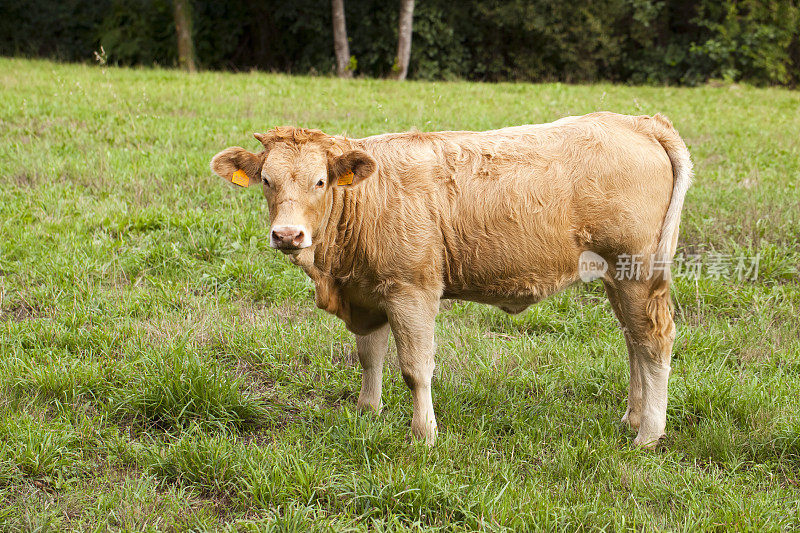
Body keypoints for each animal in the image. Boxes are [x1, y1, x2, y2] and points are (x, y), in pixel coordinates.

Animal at [209, 111, 692, 444]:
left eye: (320, 181)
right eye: (267, 180)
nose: (288, 234)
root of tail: (637, 121)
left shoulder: (412, 289)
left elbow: (415, 368)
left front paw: (423, 434)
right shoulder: (369, 292)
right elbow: (369, 356)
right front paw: (367, 412)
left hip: (638, 271)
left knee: (654, 340)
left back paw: (648, 433)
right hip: (619, 276)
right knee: (634, 340)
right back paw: (632, 417)